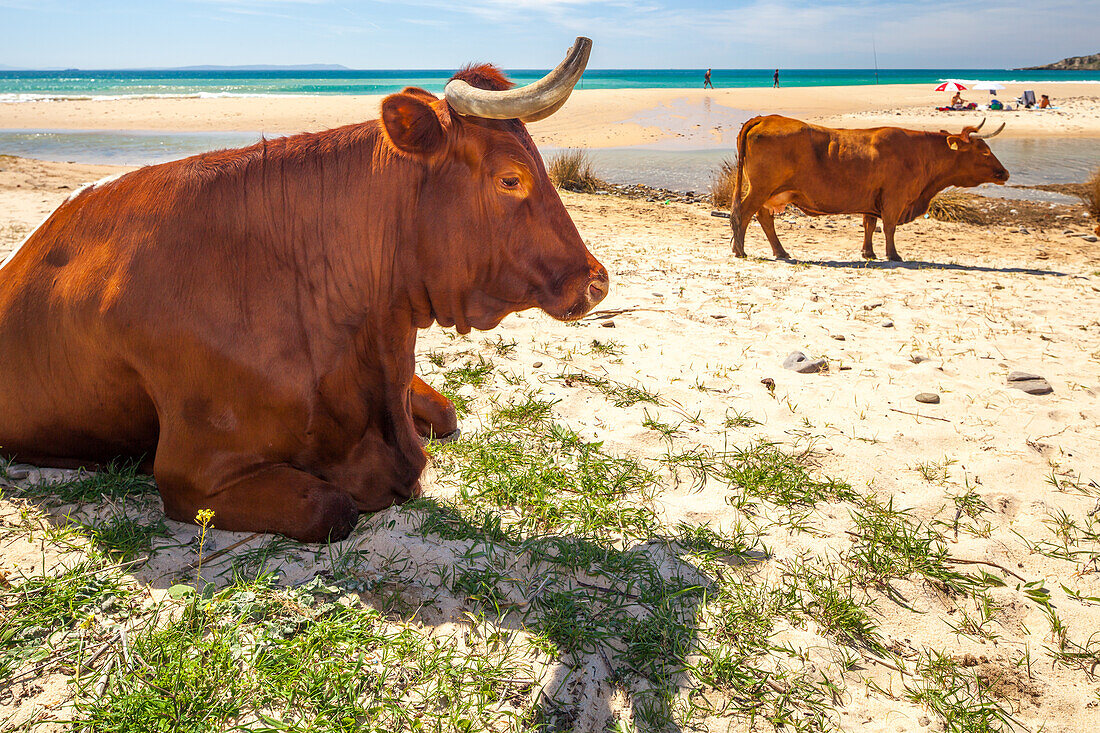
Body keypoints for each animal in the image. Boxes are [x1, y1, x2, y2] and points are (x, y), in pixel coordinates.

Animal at [726, 112, 1007, 260]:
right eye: (983, 151)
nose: (1004, 173)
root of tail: (765, 118)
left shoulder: (872, 200)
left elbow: (870, 225)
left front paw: (868, 252)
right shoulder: (895, 198)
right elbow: (889, 227)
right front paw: (893, 255)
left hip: (768, 192)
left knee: (763, 218)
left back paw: (780, 251)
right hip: (760, 189)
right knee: (743, 213)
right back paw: (740, 250)